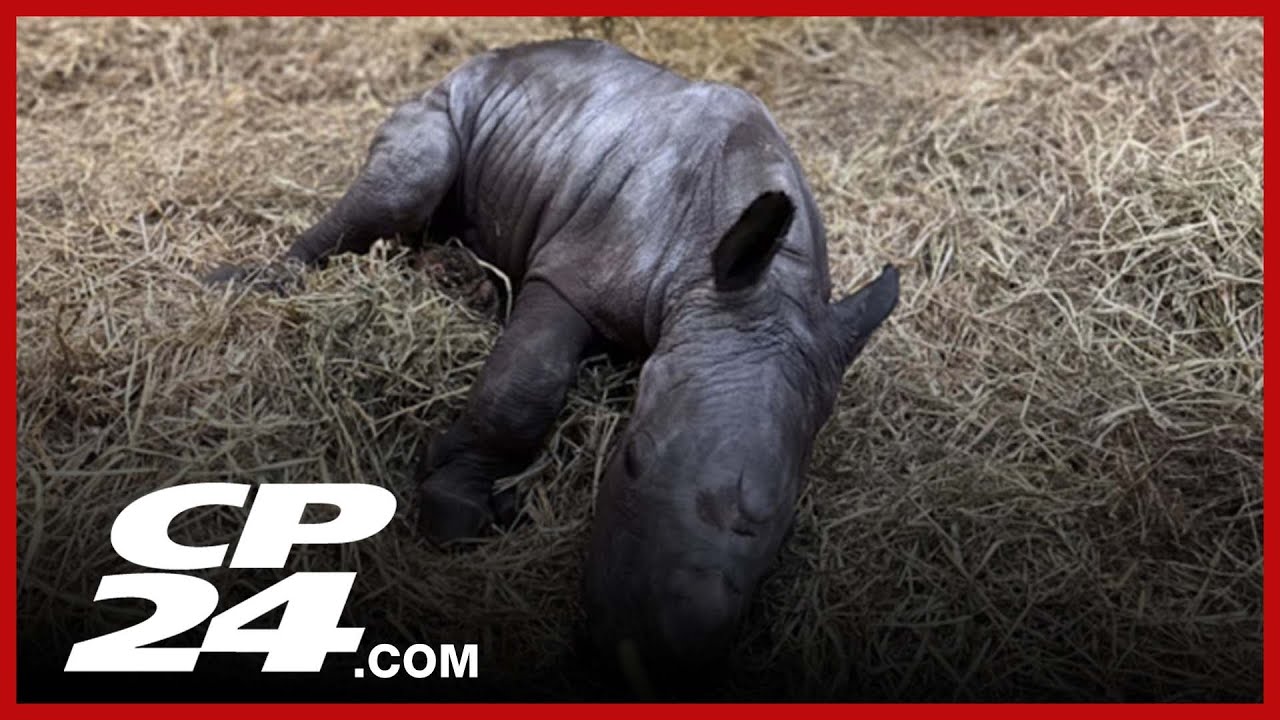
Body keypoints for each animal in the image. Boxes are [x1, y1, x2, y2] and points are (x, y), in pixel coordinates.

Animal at [209, 38, 899, 685]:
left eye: (784, 520)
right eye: (630, 458)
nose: (648, 661)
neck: (758, 289)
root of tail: (483, 60)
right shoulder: (572, 276)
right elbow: (525, 386)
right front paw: (457, 511)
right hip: (443, 105)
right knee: (406, 186)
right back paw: (243, 283)